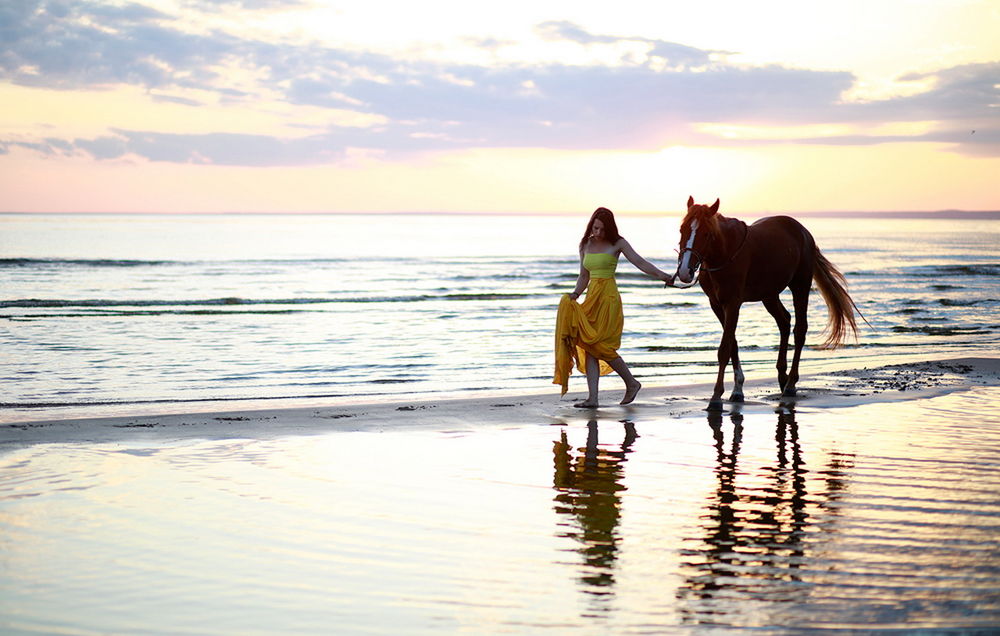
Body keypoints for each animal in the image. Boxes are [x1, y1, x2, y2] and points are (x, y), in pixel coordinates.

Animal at [676, 196, 864, 410]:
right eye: (682, 229)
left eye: (706, 233)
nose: (684, 271)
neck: (726, 253)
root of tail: (804, 233)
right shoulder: (716, 305)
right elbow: (732, 344)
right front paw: (738, 389)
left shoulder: (733, 304)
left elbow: (724, 349)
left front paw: (716, 396)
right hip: (769, 295)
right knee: (784, 321)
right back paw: (782, 376)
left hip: (800, 286)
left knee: (799, 330)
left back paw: (790, 384)